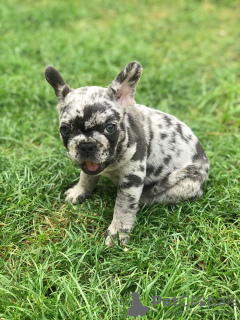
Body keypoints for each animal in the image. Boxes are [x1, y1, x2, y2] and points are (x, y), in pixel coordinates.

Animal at [44, 63, 209, 248]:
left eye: (110, 128)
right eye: (64, 130)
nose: (86, 145)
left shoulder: (131, 180)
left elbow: (123, 207)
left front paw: (117, 233)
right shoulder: (89, 167)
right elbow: (86, 178)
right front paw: (79, 192)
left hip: (185, 185)